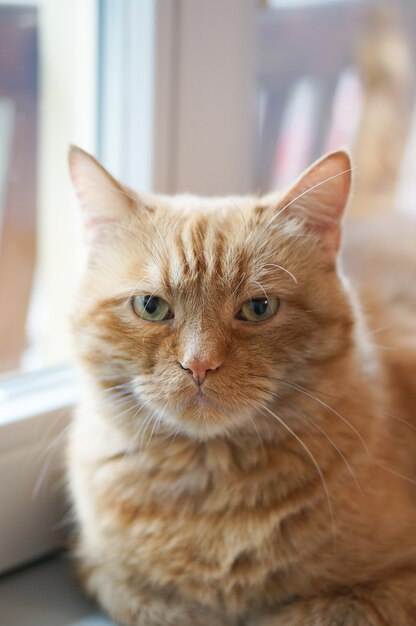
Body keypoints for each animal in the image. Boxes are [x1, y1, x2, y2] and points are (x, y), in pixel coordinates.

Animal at [66, 147, 416, 624]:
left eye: (259, 308)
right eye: (151, 306)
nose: (199, 365)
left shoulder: (389, 587)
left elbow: (304, 614)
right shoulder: (107, 574)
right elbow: (160, 605)